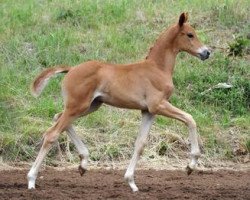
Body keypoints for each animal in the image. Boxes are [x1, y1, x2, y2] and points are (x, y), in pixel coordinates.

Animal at [27, 12, 211, 192]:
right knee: (51, 134)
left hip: (90, 106)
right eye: (190, 34)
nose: (206, 52)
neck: (157, 68)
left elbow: (140, 144)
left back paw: (83, 163)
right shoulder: (158, 105)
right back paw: (31, 180)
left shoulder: (148, 111)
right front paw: (191, 165)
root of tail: (71, 69)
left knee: (58, 118)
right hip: (78, 107)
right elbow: (190, 119)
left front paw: (131, 182)